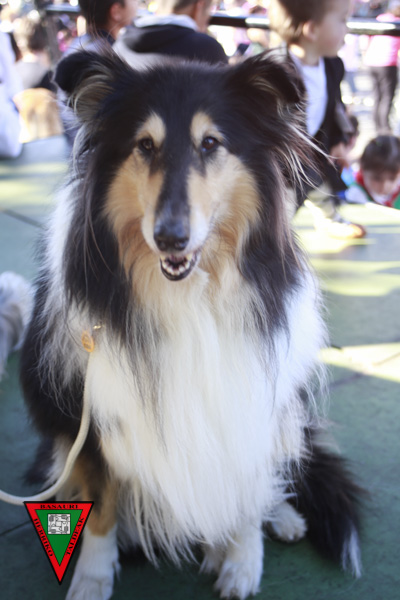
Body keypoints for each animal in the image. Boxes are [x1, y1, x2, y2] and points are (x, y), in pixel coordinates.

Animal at [20, 51, 362, 600]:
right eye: (144, 145)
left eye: (210, 144)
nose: (170, 238)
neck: (188, 294)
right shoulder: (90, 419)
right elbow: (101, 506)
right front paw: (93, 577)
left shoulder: (248, 402)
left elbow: (248, 490)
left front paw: (242, 561)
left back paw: (283, 517)